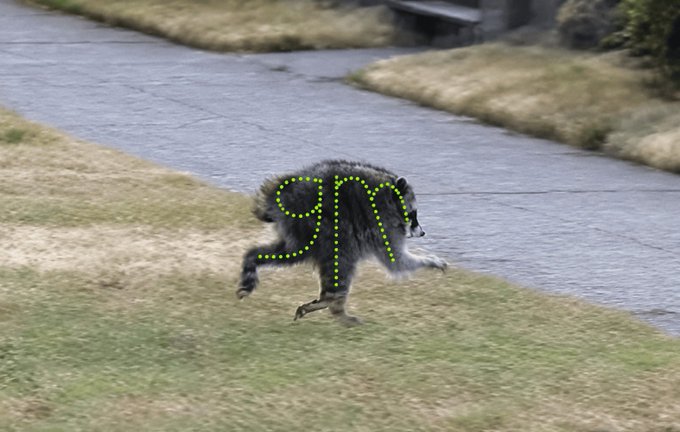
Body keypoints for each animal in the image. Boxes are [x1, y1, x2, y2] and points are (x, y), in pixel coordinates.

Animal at [237, 159, 447, 325]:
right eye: (413, 214)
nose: (422, 232)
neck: (389, 195)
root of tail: (281, 193)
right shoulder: (383, 225)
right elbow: (397, 261)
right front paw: (429, 260)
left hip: (302, 231)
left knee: (288, 252)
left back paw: (253, 259)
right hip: (322, 228)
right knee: (342, 261)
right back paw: (334, 306)